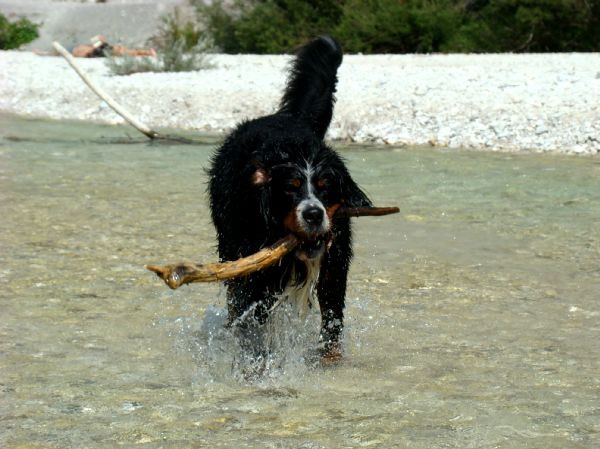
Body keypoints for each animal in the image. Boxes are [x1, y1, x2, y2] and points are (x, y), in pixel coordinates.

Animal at [209, 36, 372, 356]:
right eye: (290, 187)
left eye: (325, 185)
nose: (313, 214)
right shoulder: (254, 273)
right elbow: (253, 329)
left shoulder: (334, 267)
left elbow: (332, 325)